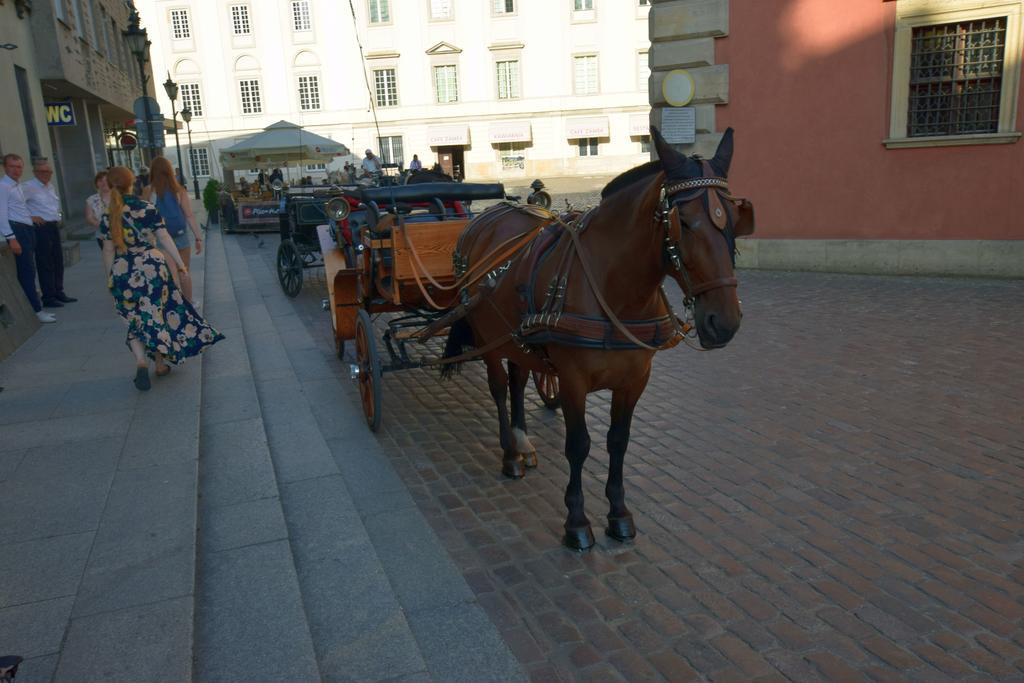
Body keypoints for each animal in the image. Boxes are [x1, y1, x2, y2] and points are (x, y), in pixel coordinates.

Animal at [440, 127, 753, 548]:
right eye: (683, 221)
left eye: (735, 217)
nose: (725, 321)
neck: (614, 289)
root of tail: (487, 216)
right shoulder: (572, 380)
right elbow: (579, 445)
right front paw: (576, 521)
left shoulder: (635, 380)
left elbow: (618, 441)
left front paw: (618, 513)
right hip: (486, 334)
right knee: (500, 388)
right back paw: (510, 453)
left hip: (517, 337)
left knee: (519, 378)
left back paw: (523, 443)